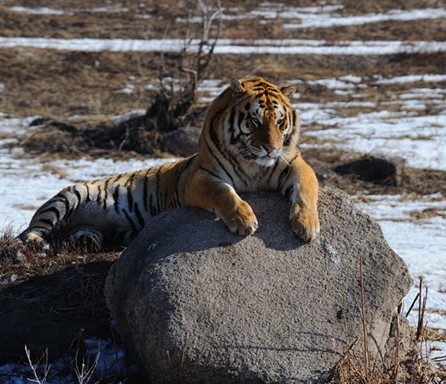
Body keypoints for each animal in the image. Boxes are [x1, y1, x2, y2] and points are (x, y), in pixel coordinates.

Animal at [17, 76, 318, 248]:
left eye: (280, 122)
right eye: (255, 121)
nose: (271, 148)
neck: (254, 163)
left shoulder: (295, 165)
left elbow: (306, 190)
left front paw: (307, 226)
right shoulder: (198, 177)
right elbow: (224, 193)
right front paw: (244, 220)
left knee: (75, 234)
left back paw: (89, 240)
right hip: (66, 197)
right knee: (31, 231)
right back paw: (35, 245)